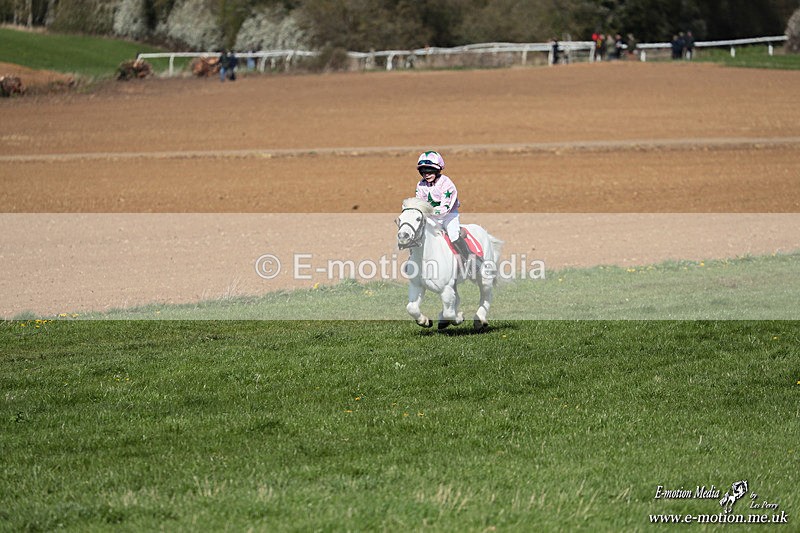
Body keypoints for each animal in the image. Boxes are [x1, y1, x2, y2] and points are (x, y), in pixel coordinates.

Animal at [396, 198, 503, 331]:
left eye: (418, 219)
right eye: (399, 219)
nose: (402, 236)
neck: (426, 257)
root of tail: (483, 231)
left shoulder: (446, 288)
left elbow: (449, 313)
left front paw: (459, 317)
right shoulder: (417, 285)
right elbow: (411, 308)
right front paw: (425, 321)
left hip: (484, 277)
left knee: (486, 296)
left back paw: (479, 320)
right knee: (457, 299)